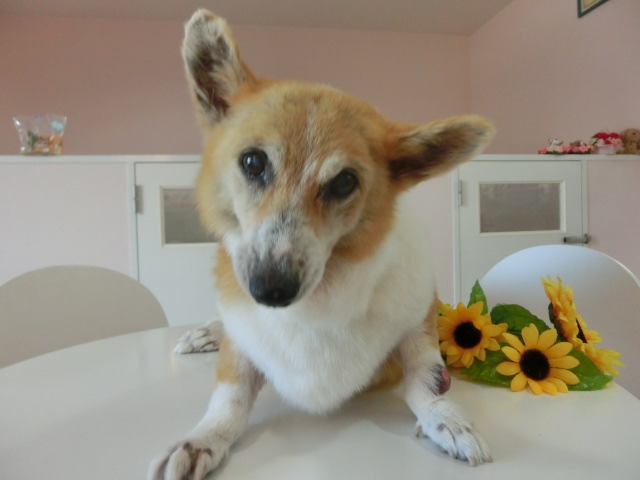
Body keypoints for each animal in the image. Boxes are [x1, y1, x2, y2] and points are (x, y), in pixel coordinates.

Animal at [149, 9, 495, 479]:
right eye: (253, 162)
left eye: (344, 182)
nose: (270, 290)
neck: (314, 307)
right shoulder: (241, 348)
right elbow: (228, 400)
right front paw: (201, 440)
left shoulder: (419, 322)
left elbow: (425, 382)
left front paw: (447, 420)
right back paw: (204, 332)